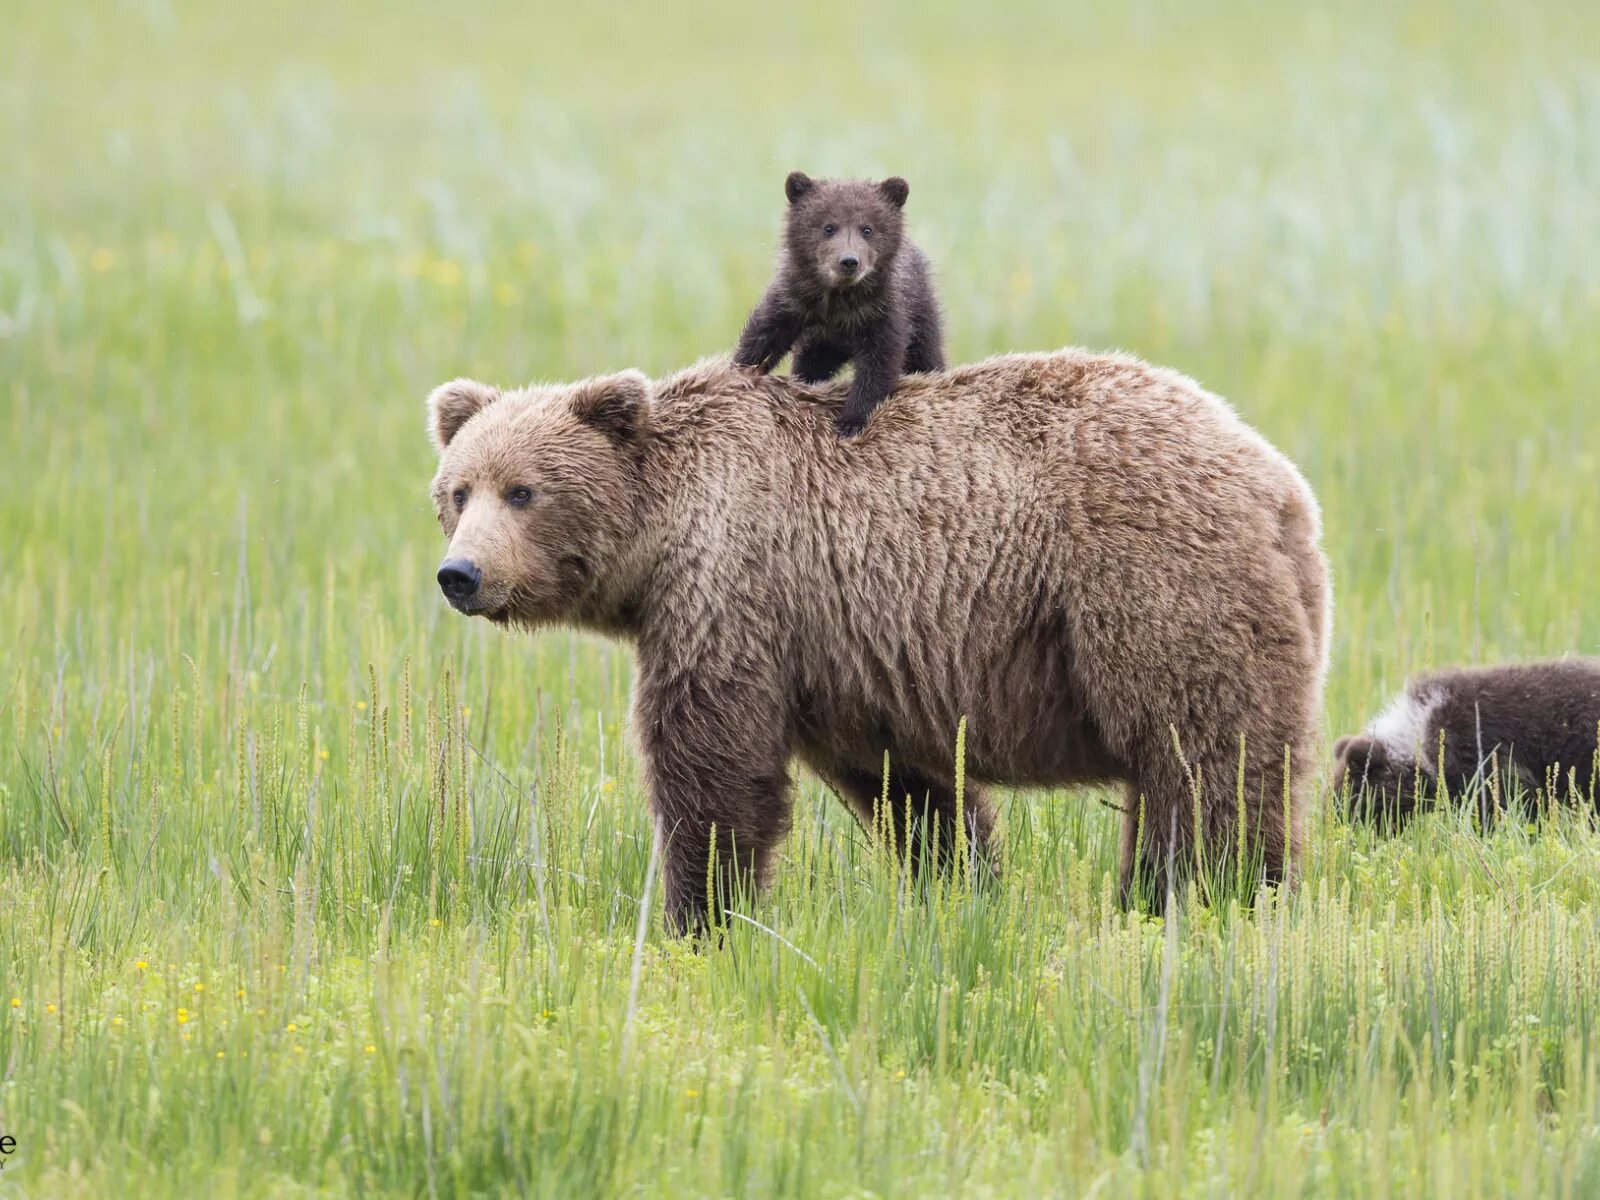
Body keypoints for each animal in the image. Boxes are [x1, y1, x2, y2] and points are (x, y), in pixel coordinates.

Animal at [422, 352, 1324, 934]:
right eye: (457, 491)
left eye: (523, 491)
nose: (461, 573)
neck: (660, 536)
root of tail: (1280, 485)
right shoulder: (852, 652)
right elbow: (910, 787)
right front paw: (961, 889)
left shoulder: (733, 588)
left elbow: (710, 762)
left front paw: (697, 917)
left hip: (1152, 583)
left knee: (1201, 761)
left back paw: (1205, 898)